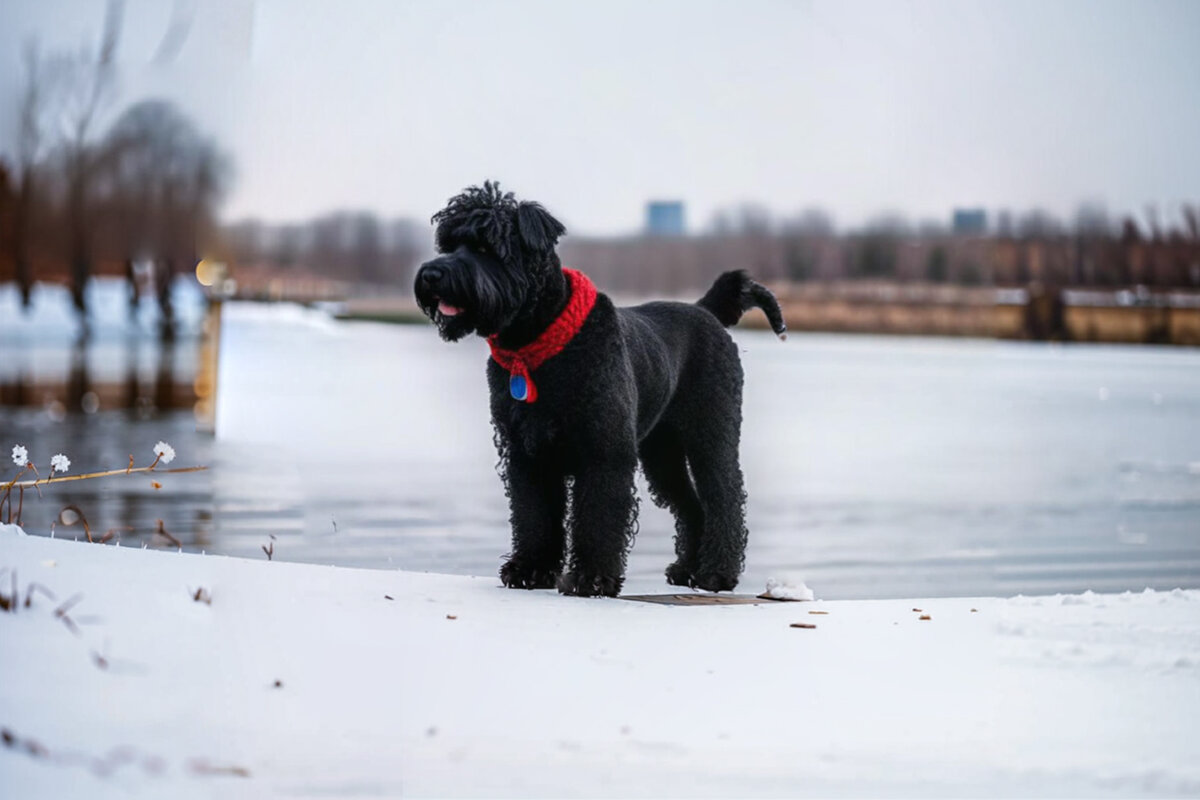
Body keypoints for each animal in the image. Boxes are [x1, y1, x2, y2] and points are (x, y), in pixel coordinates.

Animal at [415, 181, 787, 594]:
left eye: (486, 246)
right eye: (448, 244)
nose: (431, 274)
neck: (536, 343)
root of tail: (707, 311)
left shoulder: (603, 451)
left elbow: (598, 517)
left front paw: (591, 577)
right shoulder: (527, 454)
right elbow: (533, 517)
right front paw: (530, 569)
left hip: (711, 435)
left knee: (725, 497)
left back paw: (717, 573)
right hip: (662, 452)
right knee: (692, 505)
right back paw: (686, 569)